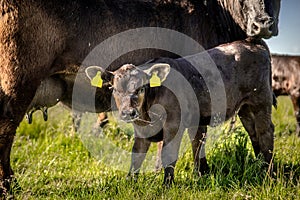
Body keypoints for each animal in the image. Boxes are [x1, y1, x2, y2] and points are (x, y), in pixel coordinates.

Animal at [84, 38, 274, 185]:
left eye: (141, 88)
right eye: (114, 89)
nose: (128, 112)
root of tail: (250, 41)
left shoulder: (174, 123)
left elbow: (168, 154)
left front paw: (167, 185)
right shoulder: (141, 130)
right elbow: (136, 155)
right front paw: (130, 183)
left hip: (261, 101)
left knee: (265, 133)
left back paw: (269, 175)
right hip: (245, 108)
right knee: (253, 134)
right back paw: (259, 167)